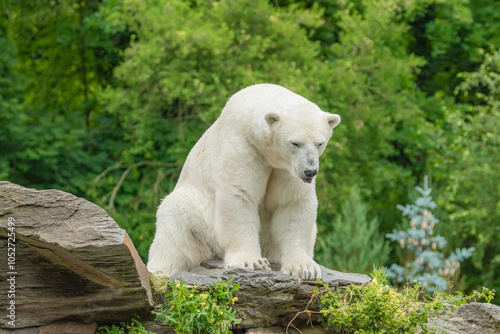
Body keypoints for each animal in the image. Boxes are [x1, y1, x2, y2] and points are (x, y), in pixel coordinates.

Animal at [147, 83, 340, 280]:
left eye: (320, 143)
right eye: (295, 143)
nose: (310, 171)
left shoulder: (286, 169)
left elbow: (292, 202)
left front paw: (303, 268)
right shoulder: (244, 146)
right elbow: (239, 194)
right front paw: (252, 262)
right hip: (195, 215)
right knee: (173, 227)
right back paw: (159, 272)